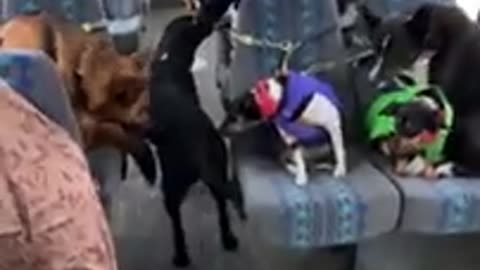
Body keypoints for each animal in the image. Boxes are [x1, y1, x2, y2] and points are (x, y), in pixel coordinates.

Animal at [145, 15, 246, 266]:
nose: (214, 22)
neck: (168, 56)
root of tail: (197, 147)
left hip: (170, 188)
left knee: (177, 226)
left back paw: (181, 256)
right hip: (217, 169)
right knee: (222, 209)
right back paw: (228, 240)